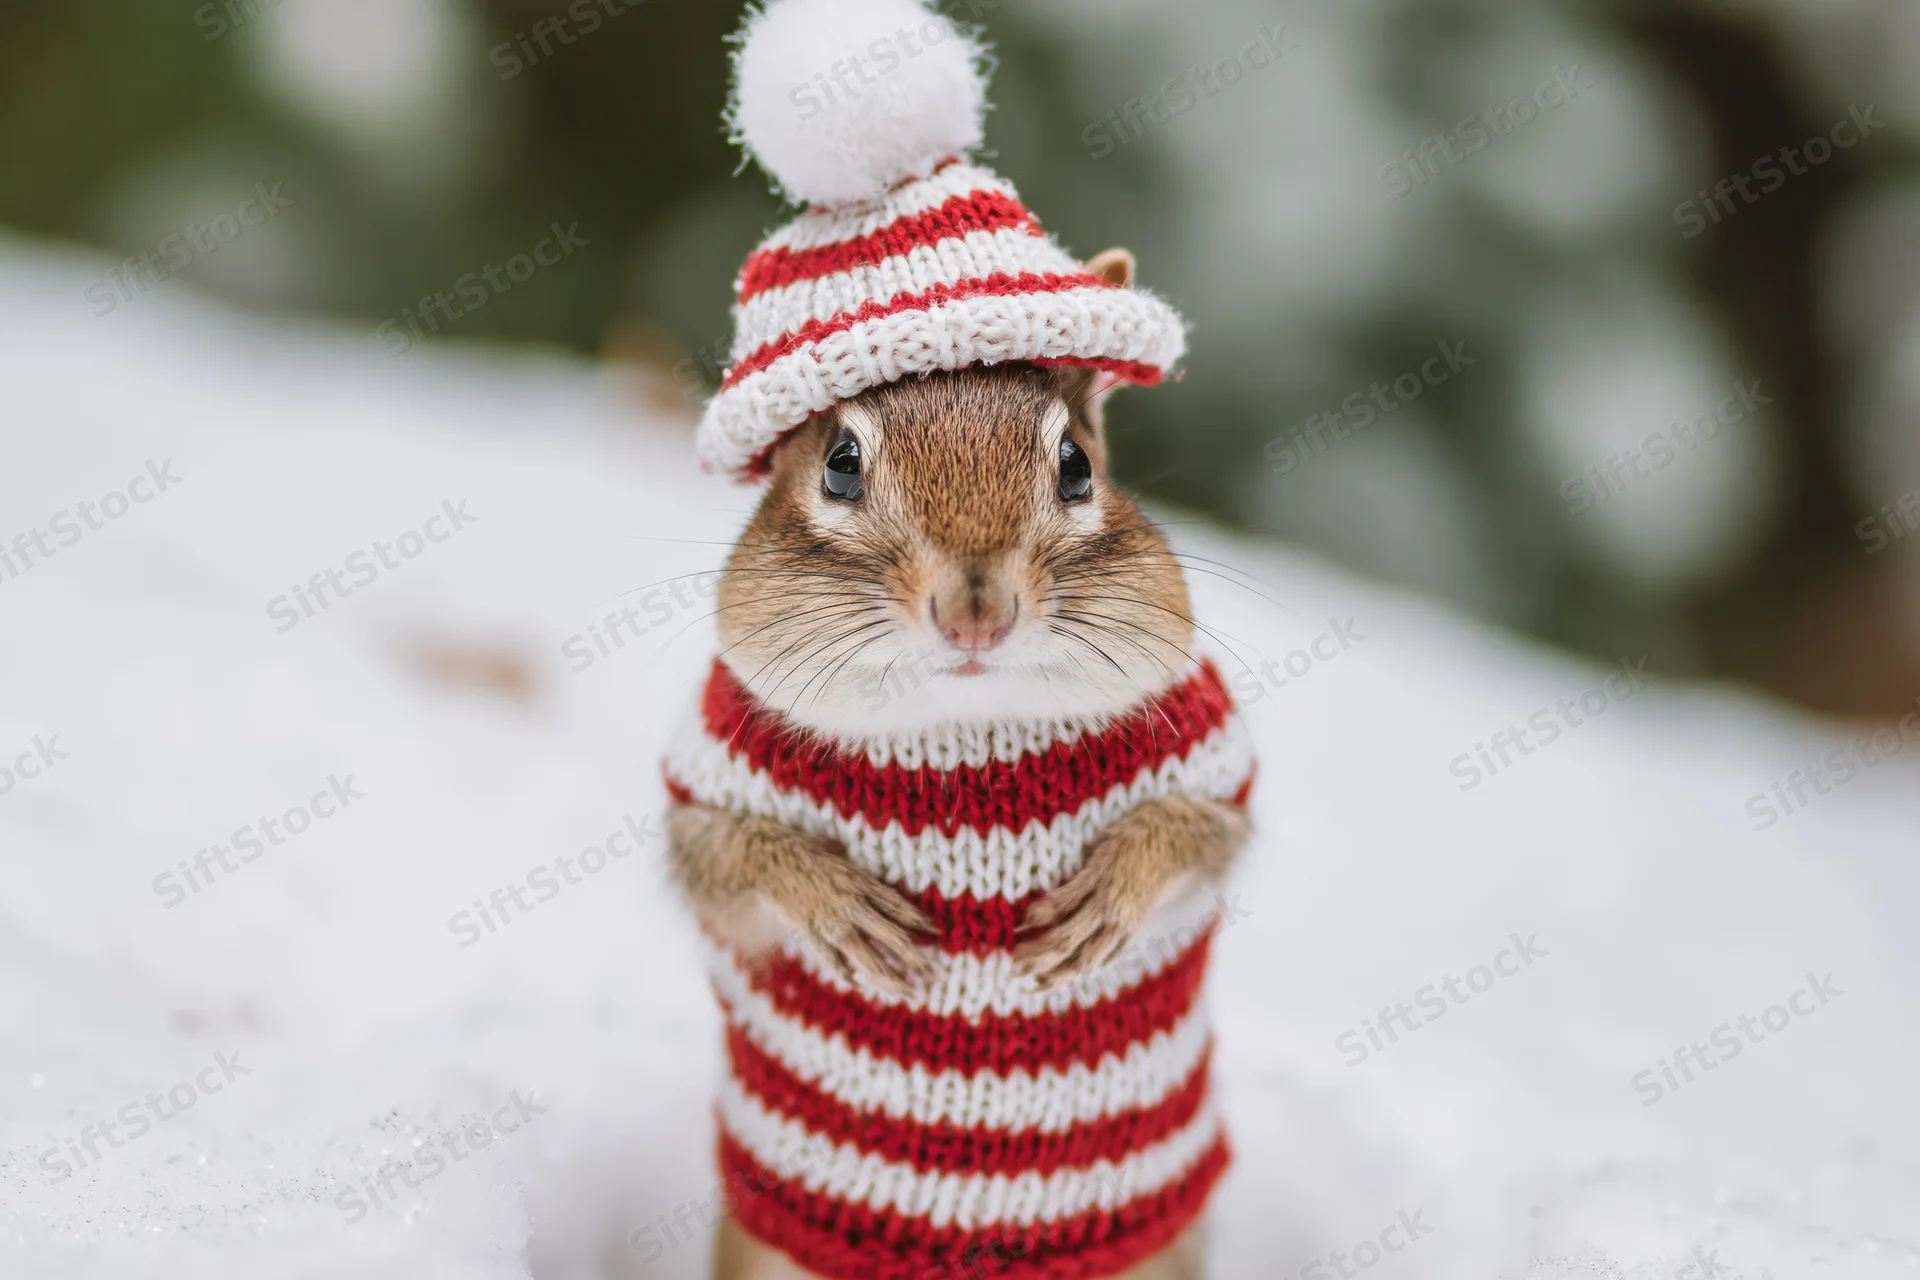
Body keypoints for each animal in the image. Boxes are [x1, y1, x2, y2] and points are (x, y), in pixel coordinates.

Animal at [659, 3, 1257, 1278]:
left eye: (1076, 465)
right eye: (839, 463)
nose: (975, 611)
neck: (963, 734)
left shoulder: (1210, 754)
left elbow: (1194, 831)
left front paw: (1109, 894)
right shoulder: (709, 771)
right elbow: (729, 858)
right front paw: (837, 901)